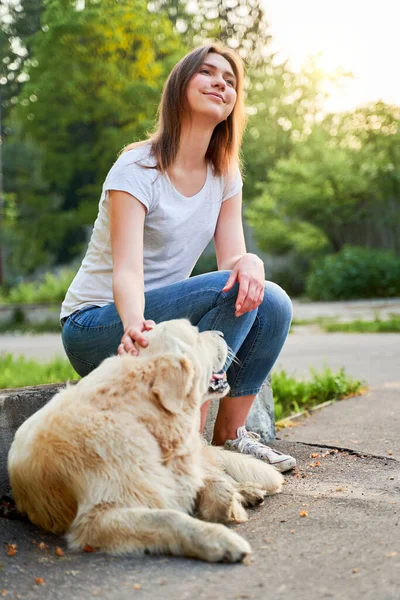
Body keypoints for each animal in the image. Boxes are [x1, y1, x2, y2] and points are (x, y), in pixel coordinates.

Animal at [9, 322, 284, 560]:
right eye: (195, 335)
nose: (221, 334)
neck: (141, 416)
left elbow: (215, 485)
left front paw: (231, 502)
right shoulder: (97, 520)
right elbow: (170, 518)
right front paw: (221, 540)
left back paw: (247, 490)